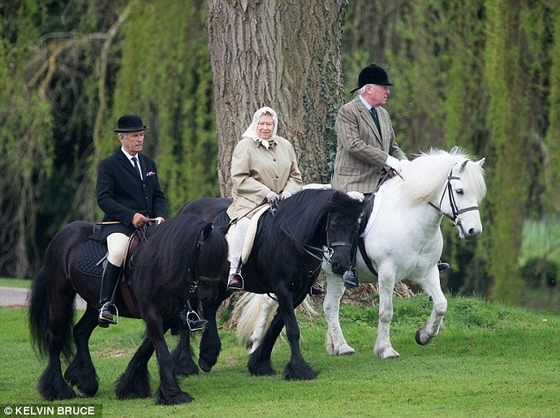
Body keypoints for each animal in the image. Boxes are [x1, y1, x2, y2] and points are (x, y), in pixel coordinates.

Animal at [27, 214, 229, 404]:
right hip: (60, 297)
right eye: (203, 253)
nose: (209, 296)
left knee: (80, 332)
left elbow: (147, 349)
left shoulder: (167, 315)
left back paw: (85, 382)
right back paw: (58, 390)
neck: (161, 262)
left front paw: (130, 387)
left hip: (94, 305)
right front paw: (173, 394)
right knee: (55, 338)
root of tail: (60, 236)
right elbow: (162, 351)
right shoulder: (151, 312)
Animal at [180, 188, 364, 380]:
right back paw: (185, 365)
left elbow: (276, 326)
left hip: (222, 284)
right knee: (187, 314)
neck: (293, 239)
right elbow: (292, 329)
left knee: (210, 306)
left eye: (355, 228)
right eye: (333, 225)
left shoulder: (298, 292)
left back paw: (208, 356)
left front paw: (259, 363)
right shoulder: (282, 289)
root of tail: (186, 208)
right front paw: (299, 369)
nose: (340, 264)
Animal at [236, 149, 486, 360]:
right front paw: (385, 349)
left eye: (478, 194)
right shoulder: (387, 273)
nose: (474, 231)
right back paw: (255, 344)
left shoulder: (427, 271)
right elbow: (386, 312)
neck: (410, 218)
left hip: (333, 274)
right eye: (460, 191)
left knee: (329, 306)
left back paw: (340, 346)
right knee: (269, 302)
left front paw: (424, 335)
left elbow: (441, 305)